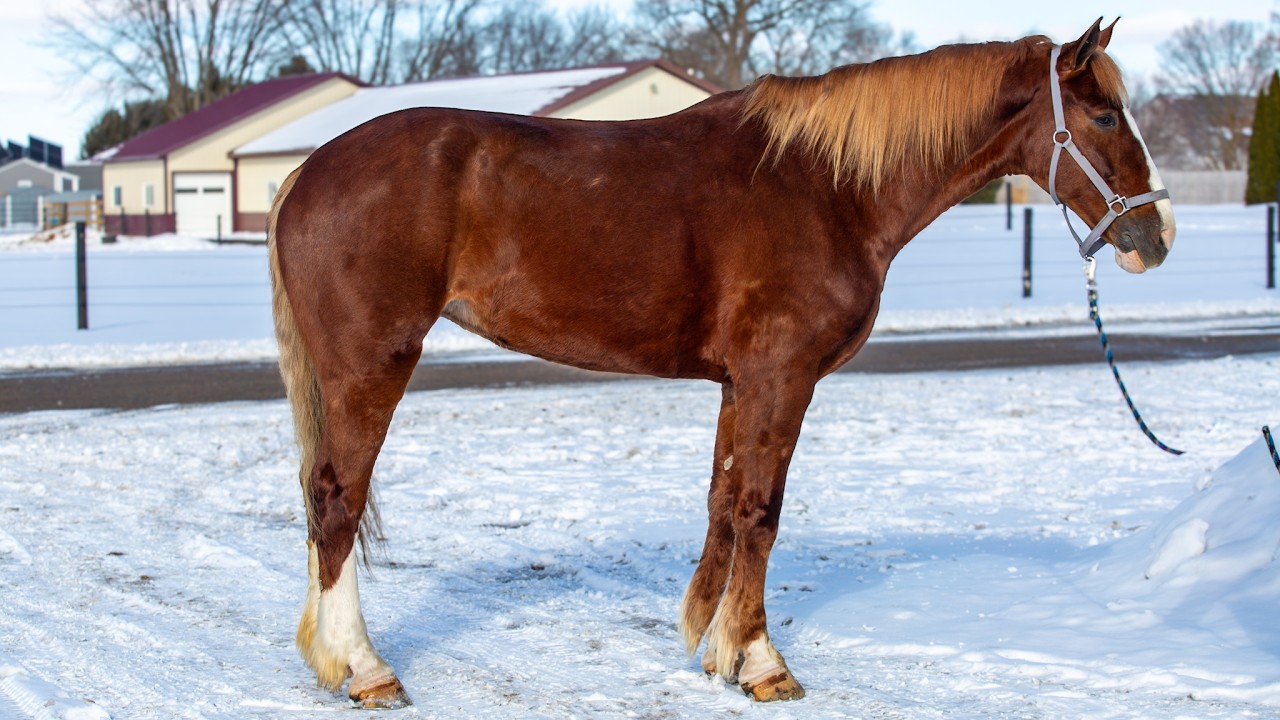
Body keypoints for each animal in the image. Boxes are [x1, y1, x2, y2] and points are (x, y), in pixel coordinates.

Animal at [268, 18, 1174, 708]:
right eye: (1103, 118)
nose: (1156, 235)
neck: (828, 187)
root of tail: (307, 174)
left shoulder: (741, 385)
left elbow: (723, 504)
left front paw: (714, 647)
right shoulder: (783, 377)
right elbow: (762, 513)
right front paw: (763, 664)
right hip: (371, 366)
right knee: (337, 500)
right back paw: (365, 669)